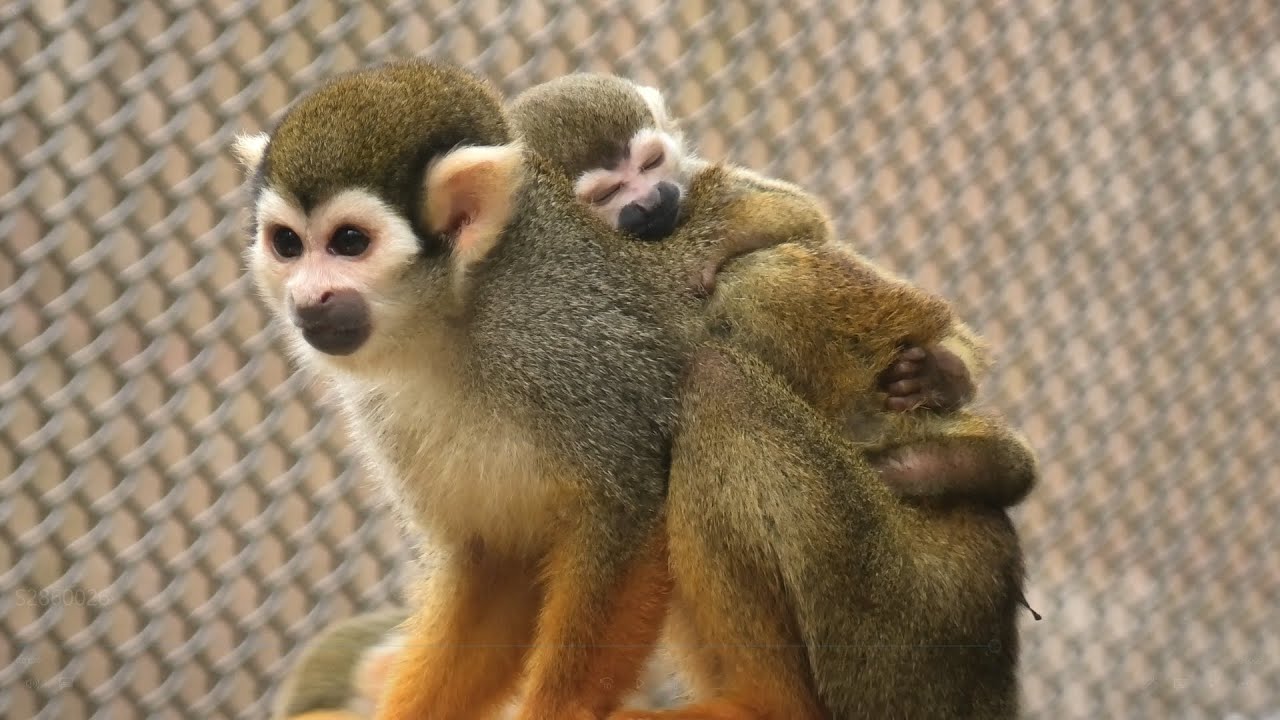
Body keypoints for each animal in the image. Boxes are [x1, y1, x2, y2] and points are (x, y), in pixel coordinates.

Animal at [233, 59, 691, 720]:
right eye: (287, 244)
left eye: (349, 242)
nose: (308, 297)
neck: (454, 316)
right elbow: (496, 560)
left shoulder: (575, 338)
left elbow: (628, 512)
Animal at [507, 74, 1036, 508]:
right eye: (608, 193)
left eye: (652, 162)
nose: (653, 199)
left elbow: (801, 214)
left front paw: (712, 247)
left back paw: (945, 388)